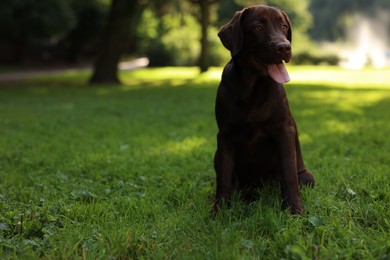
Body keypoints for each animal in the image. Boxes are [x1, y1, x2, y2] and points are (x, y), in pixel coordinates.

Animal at [212, 5, 316, 214]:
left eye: (284, 26)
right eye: (258, 27)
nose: (284, 47)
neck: (252, 90)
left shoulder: (284, 131)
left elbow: (288, 175)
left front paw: (294, 208)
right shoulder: (225, 135)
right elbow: (224, 178)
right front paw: (219, 210)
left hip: (307, 177)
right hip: (216, 157)